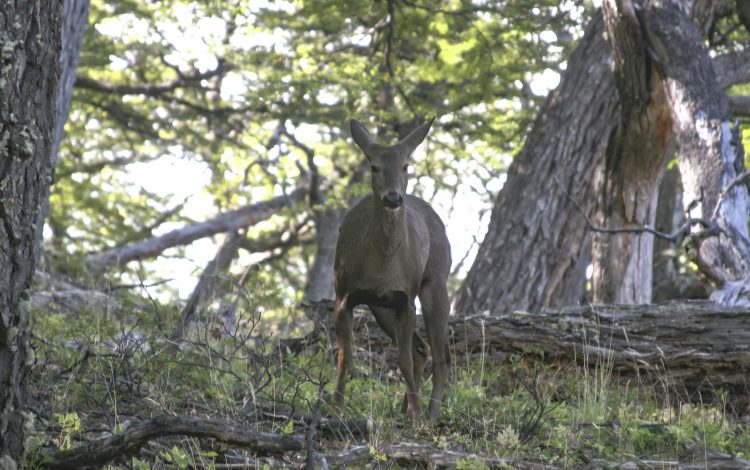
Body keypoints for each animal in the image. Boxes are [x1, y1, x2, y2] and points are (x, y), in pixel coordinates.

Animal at [334, 117, 452, 418]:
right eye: (373, 165)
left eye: (405, 165)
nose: (392, 198)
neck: (382, 263)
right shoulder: (343, 295)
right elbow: (344, 357)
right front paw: (334, 408)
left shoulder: (405, 298)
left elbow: (403, 361)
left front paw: (417, 415)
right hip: (380, 307)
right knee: (422, 349)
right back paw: (406, 408)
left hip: (435, 281)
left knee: (440, 355)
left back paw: (430, 413)